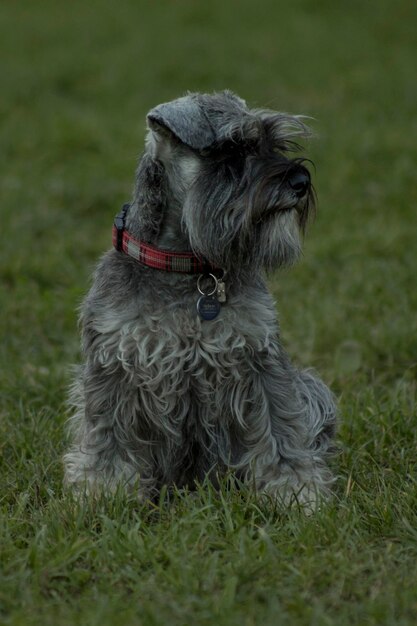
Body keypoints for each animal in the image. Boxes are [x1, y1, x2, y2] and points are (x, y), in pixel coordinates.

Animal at [62, 89, 334, 508]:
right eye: (232, 149)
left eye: (275, 141)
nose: (301, 180)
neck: (186, 268)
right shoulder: (113, 363)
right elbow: (106, 433)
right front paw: (101, 491)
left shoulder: (260, 359)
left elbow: (280, 429)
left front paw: (297, 491)